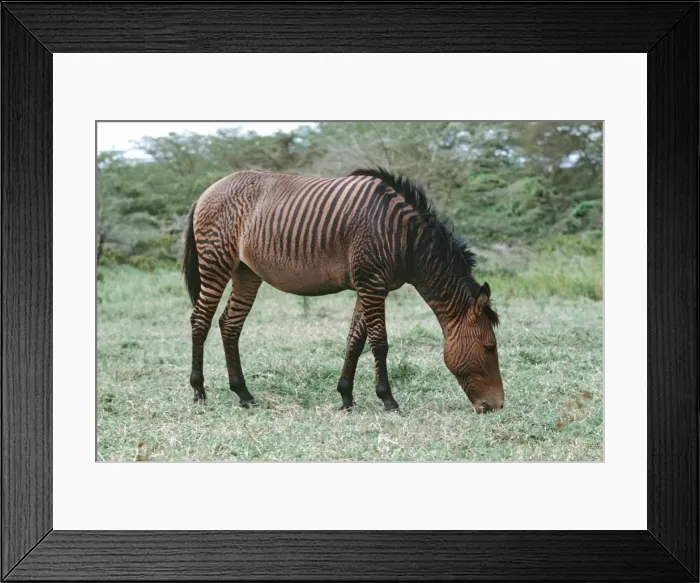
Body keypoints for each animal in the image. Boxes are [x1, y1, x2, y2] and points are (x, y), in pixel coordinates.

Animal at [181, 166, 504, 414]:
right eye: (490, 347)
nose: (498, 407)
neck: (408, 241)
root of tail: (207, 191)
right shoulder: (372, 285)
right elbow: (379, 343)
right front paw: (388, 399)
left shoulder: (369, 286)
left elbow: (355, 342)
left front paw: (346, 396)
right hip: (215, 263)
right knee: (200, 320)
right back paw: (198, 391)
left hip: (246, 272)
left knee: (229, 324)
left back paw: (243, 394)